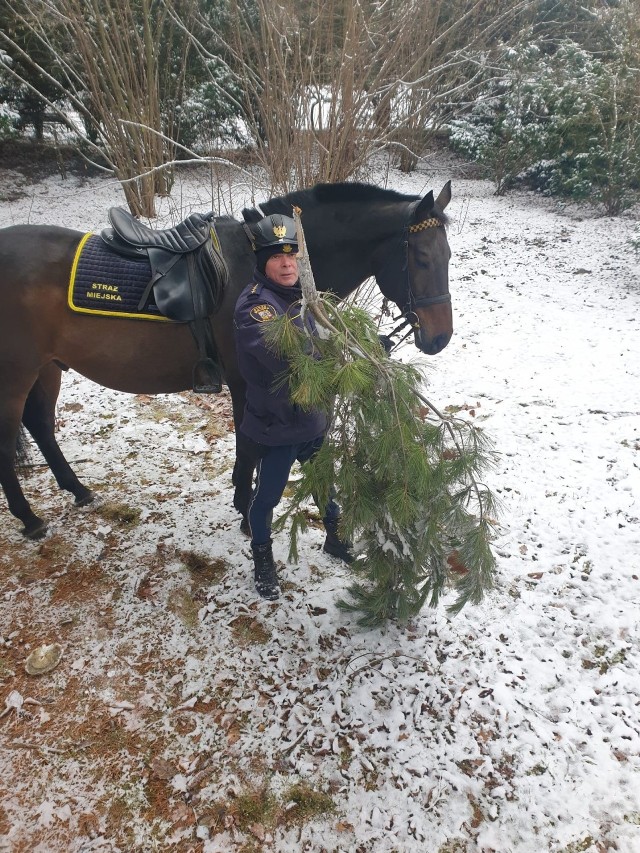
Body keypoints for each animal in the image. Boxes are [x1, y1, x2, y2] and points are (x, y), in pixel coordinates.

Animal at [0, 181, 456, 540]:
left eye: (448, 257)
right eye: (420, 259)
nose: (440, 338)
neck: (256, 266)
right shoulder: (247, 382)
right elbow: (250, 447)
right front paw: (248, 512)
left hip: (47, 369)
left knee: (40, 426)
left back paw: (77, 490)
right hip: (15, 376)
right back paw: (29, 519)